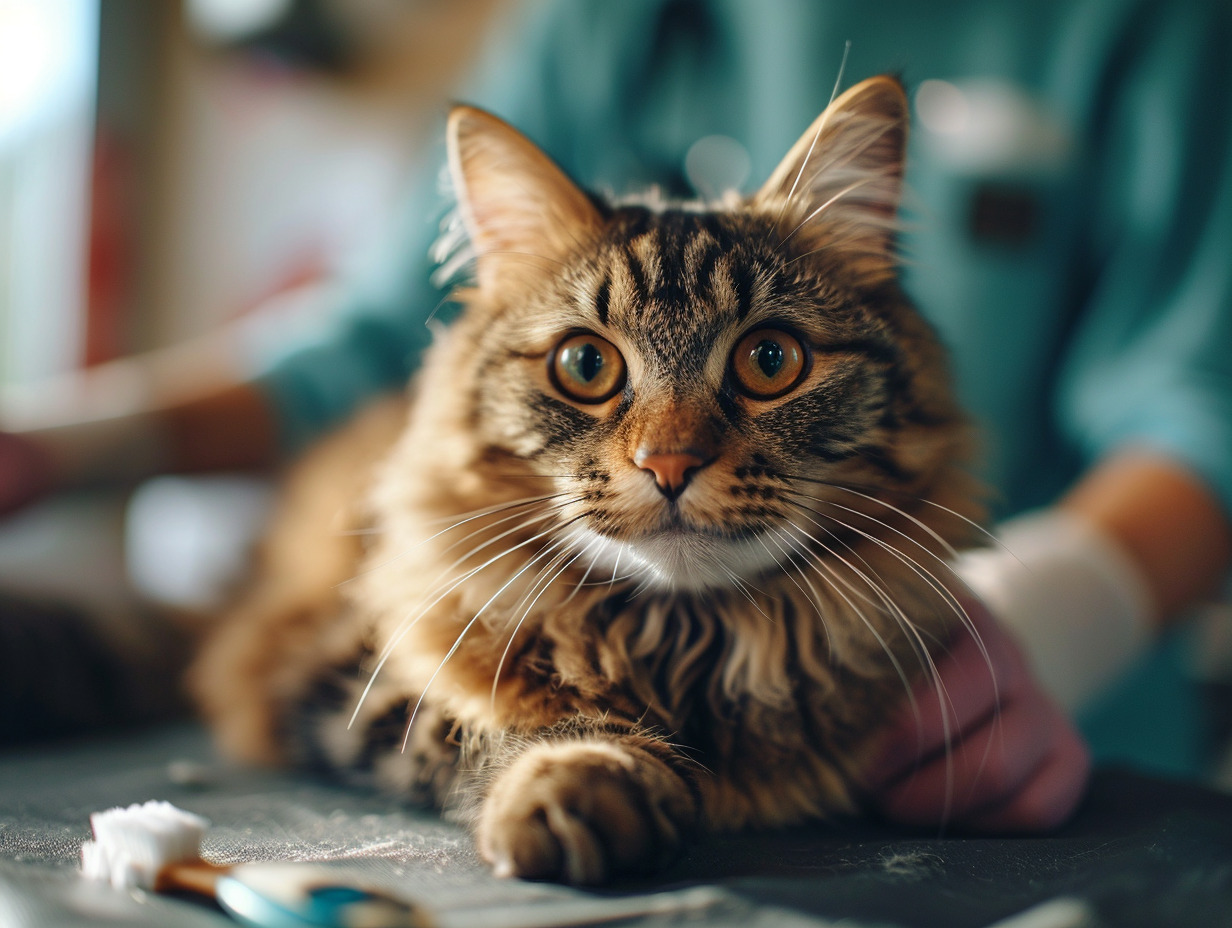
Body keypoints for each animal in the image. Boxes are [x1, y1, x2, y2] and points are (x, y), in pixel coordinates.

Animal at [192, 77, 980, 882]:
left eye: (770, 360)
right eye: (585, 365)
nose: (669, 463)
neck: (682, 644)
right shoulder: (347, 672)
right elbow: (501, 721)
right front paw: (583, 778)